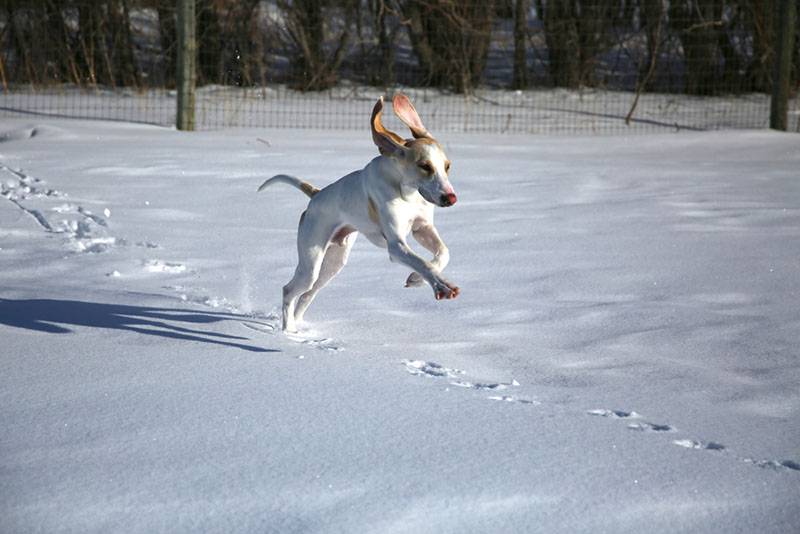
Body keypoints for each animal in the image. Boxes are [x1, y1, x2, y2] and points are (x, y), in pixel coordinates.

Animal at [260, 94, 460, 332]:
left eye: (447, 166)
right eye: (425, 166)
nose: (450, 198)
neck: (407, 192)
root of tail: (316, 195)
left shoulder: (422, 228)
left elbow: (443, 253)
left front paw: (416, 279)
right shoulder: (396, 246)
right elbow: (420, 261)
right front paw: (442, 286)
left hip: (333, 264)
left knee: (307, 294)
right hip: (311, 261)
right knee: (289, 290)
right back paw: (288, 331)